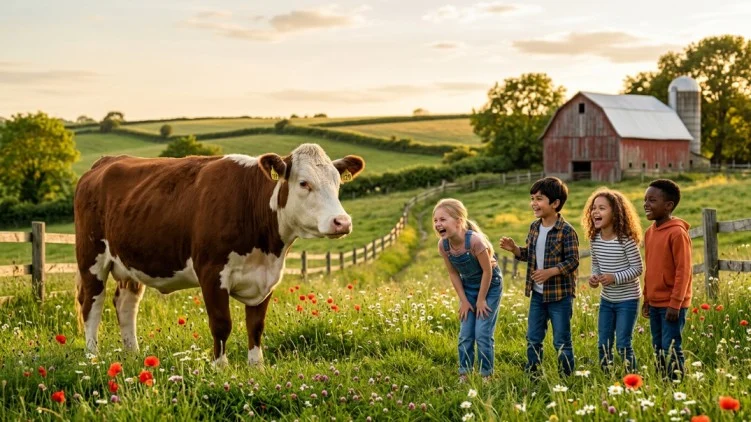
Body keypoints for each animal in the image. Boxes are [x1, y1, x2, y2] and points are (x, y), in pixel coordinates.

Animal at [74, 143, 364, 366]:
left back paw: (133, 354)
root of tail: (106, 161)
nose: (342, 222)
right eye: (304, 183)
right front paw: (220, 368)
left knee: (126, 304)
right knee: (92, 304)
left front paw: (257, 367)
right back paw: (91, 357)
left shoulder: (266, 277)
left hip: (129, 263)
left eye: (337, 183)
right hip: (91, 258)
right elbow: (222, 323)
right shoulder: (212, 273)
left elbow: (256, 325)